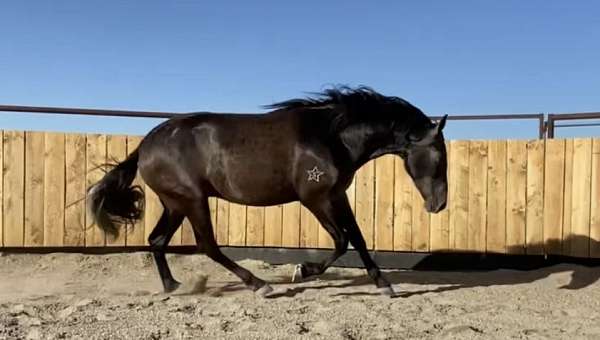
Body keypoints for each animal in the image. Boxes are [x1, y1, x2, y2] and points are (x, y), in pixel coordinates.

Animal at [86, 86, 448, 296]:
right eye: (439, 155)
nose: (440, 204)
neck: (331, 136)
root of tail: (145, 145)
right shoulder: (315, 198)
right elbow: (341, 240)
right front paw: (302, 271)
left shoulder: (337, 195)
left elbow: (357, 237)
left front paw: (384, 284)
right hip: (192, 200)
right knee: (207, 245)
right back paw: (260, 286)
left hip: (175, 203)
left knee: (157, 240)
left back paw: (173, 286)